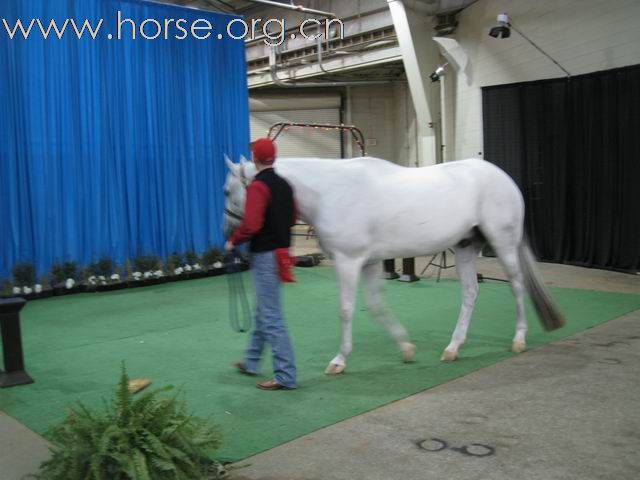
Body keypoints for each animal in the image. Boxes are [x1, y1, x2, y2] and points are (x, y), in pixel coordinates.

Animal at [222, 156, 564, 374]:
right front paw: (406, 348)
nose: (227, 233)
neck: (331, 192)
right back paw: (453, 348)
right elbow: (375, 306)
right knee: (470, 294)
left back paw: (518, 339)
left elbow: (345, 310)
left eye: (227, 190)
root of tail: (503, 178)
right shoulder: (371, 262)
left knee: (517, 286)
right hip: (466, 247)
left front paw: (339, 360)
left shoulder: (348, 261)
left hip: (503, 243)